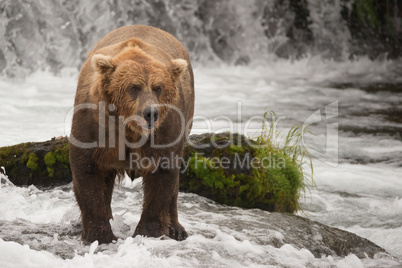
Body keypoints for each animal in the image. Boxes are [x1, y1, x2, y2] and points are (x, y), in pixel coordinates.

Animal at [69, 25, 195, 245]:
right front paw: (100, 235)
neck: (130, 129)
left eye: (158, 87)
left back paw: (176, 229)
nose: (150, 113)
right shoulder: (94, 125)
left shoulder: (165, 130)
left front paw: (148, 232)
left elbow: (162, 176)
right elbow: (87, 171)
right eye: (134, 87)